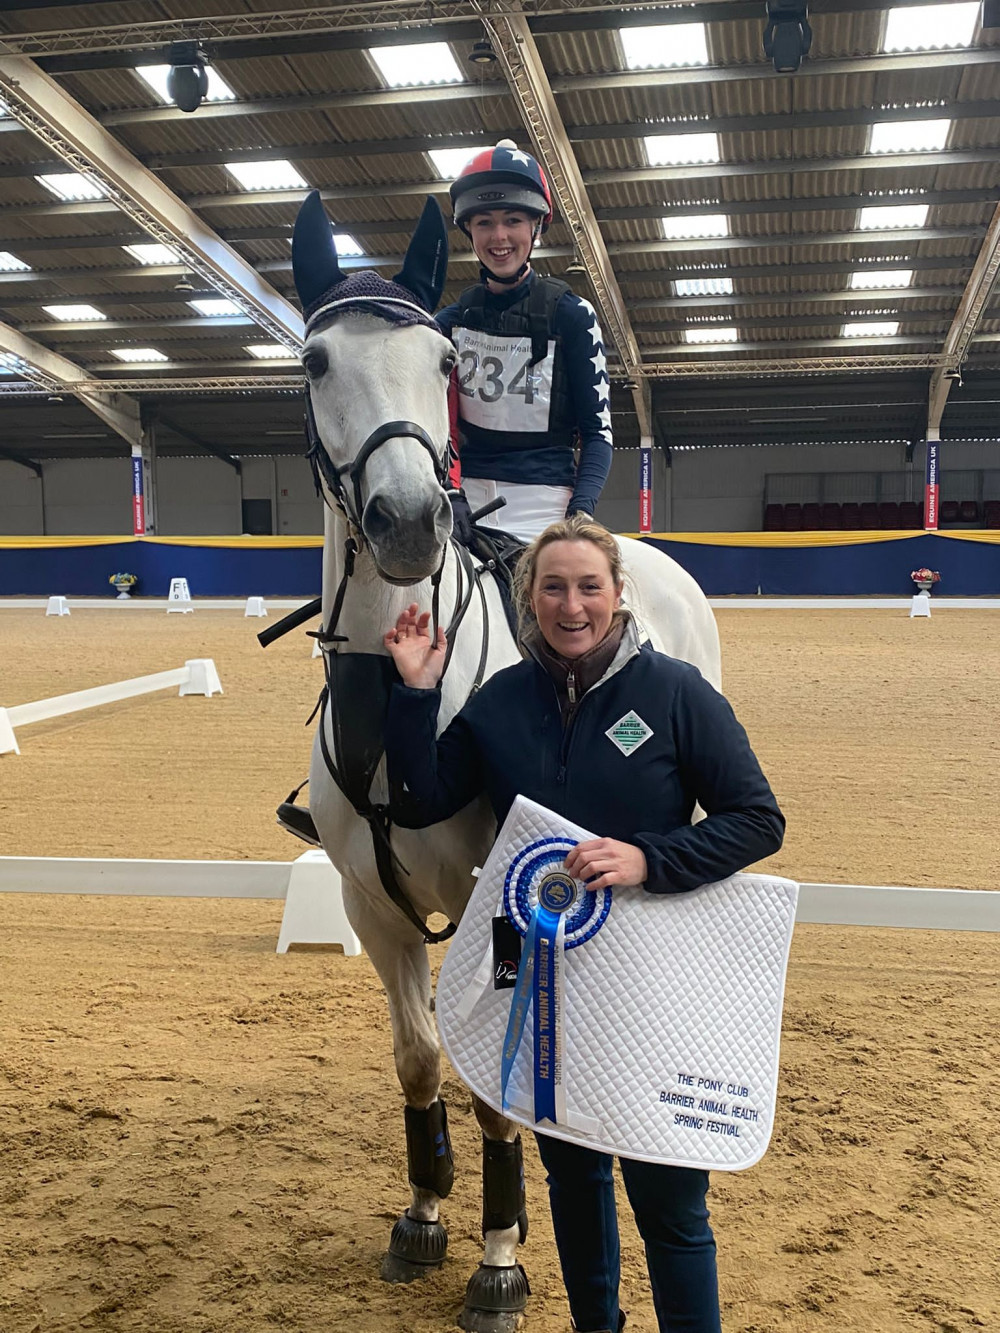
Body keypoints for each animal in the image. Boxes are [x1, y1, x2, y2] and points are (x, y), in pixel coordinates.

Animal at [289, 190, 720, 1333]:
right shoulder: (369, 904)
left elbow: (495, 1079)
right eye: (314, 359)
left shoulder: (500, 892)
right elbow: (418, 1057)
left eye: (441, 356)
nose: (406, 522)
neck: (400, 701)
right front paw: (425, 1214)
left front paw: (499, 1258)